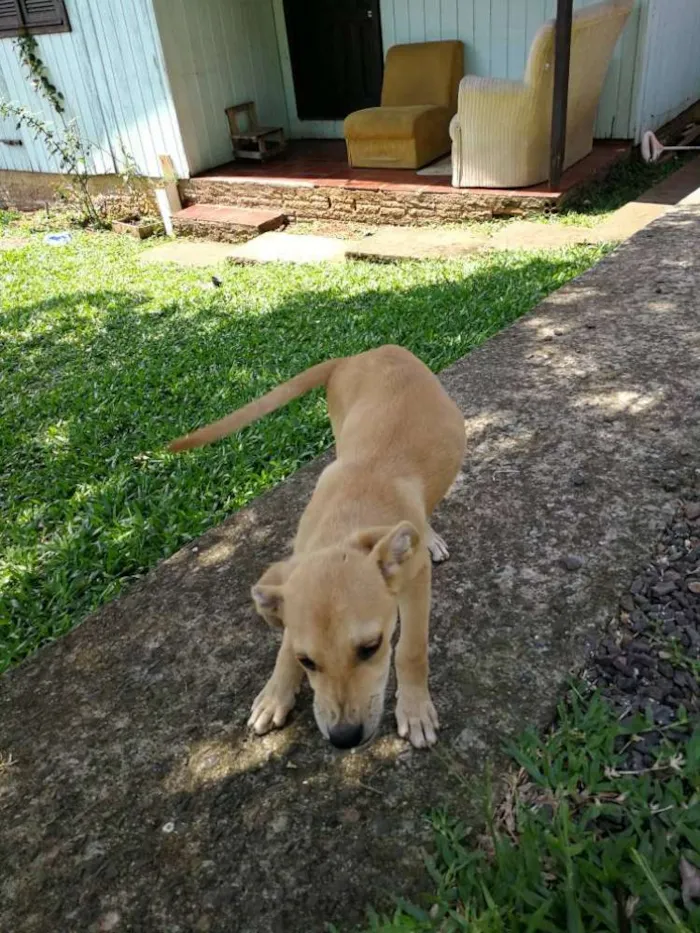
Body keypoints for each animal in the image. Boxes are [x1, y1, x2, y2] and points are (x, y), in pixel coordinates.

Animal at [169, 346, 464, 748]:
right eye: (308, 661)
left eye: (371, 648)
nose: (344, 738)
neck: (347, 524)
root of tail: (363, 352)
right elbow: (286, 640)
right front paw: (276, 693)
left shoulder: (416, 580)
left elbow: (411, 649)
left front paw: (415, 709)